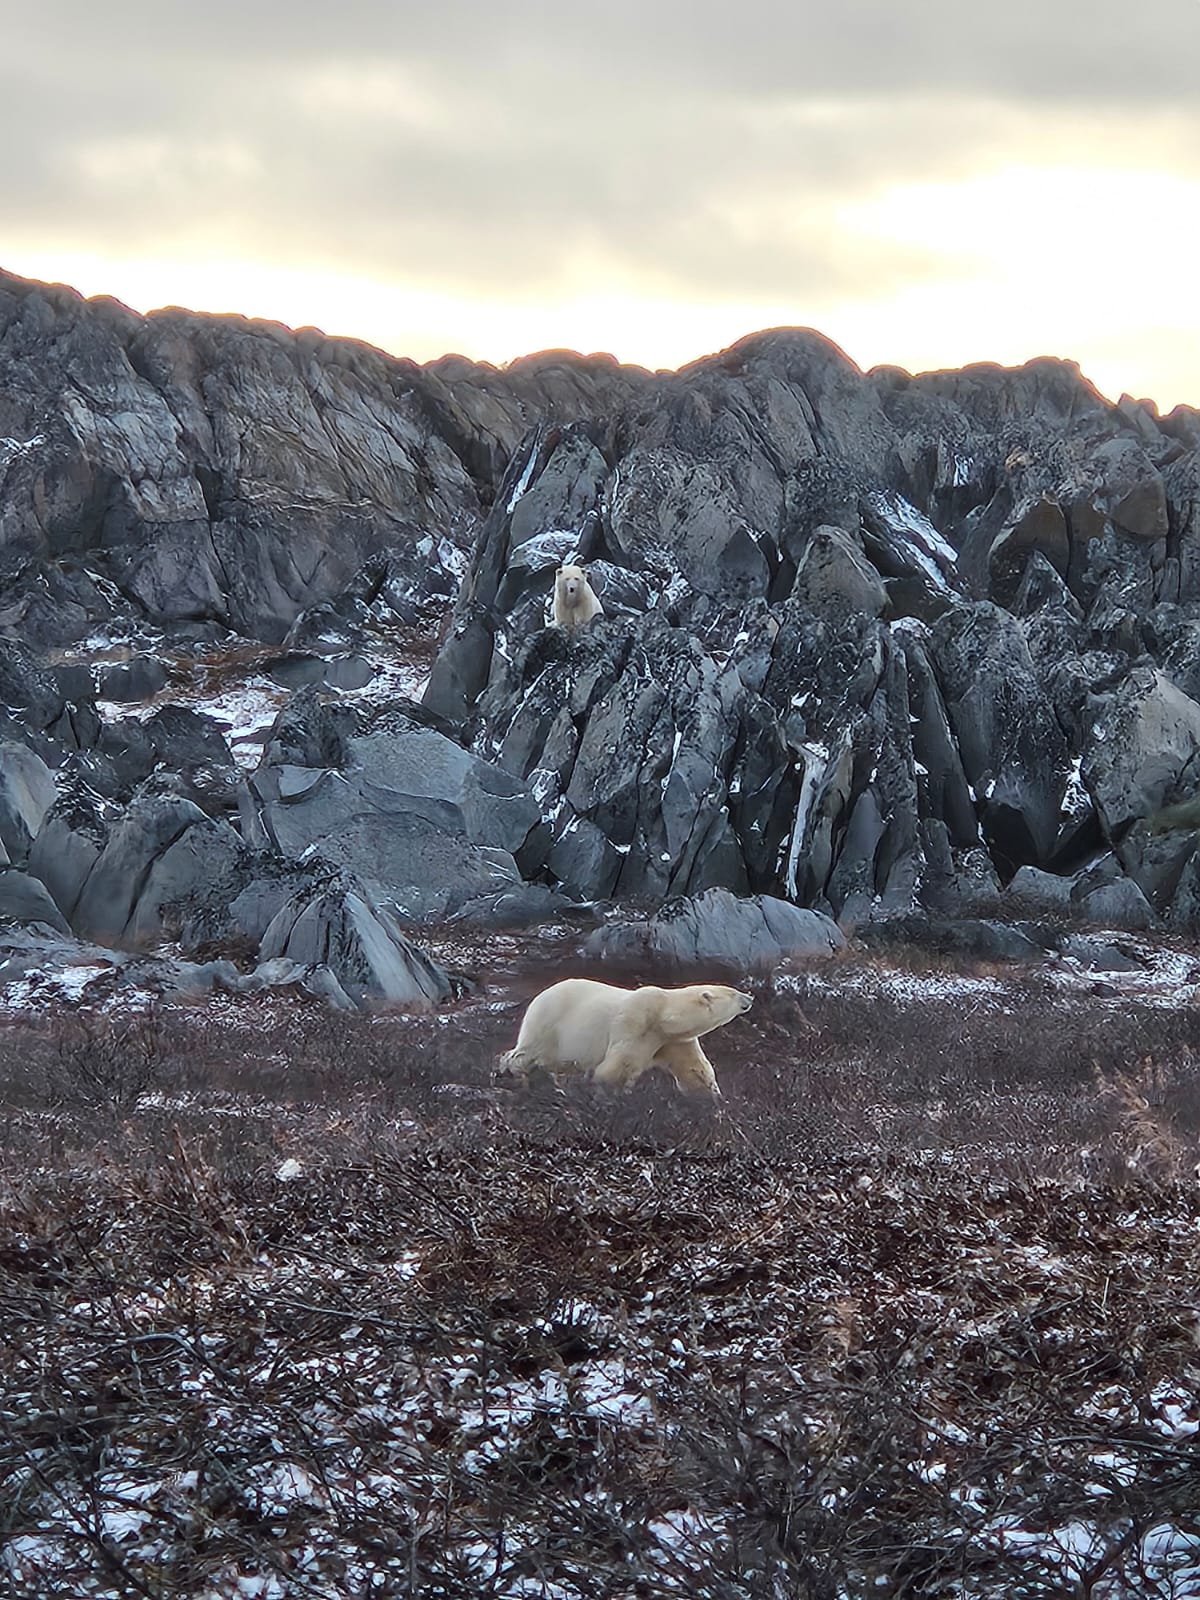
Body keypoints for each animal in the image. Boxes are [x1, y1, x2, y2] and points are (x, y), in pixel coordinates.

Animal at [496, 978, 752, 1098]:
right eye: (733, 992)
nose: (750, 997)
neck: (663, 1016)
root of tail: (539, 996)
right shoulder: (635, 1021)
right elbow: (619, 1064)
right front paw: (611, 1093)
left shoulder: (673, 1041)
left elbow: (692, 1068)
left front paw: (712, 1096)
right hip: (549, 1022)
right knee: (529, 1051)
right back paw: (511, 1072)